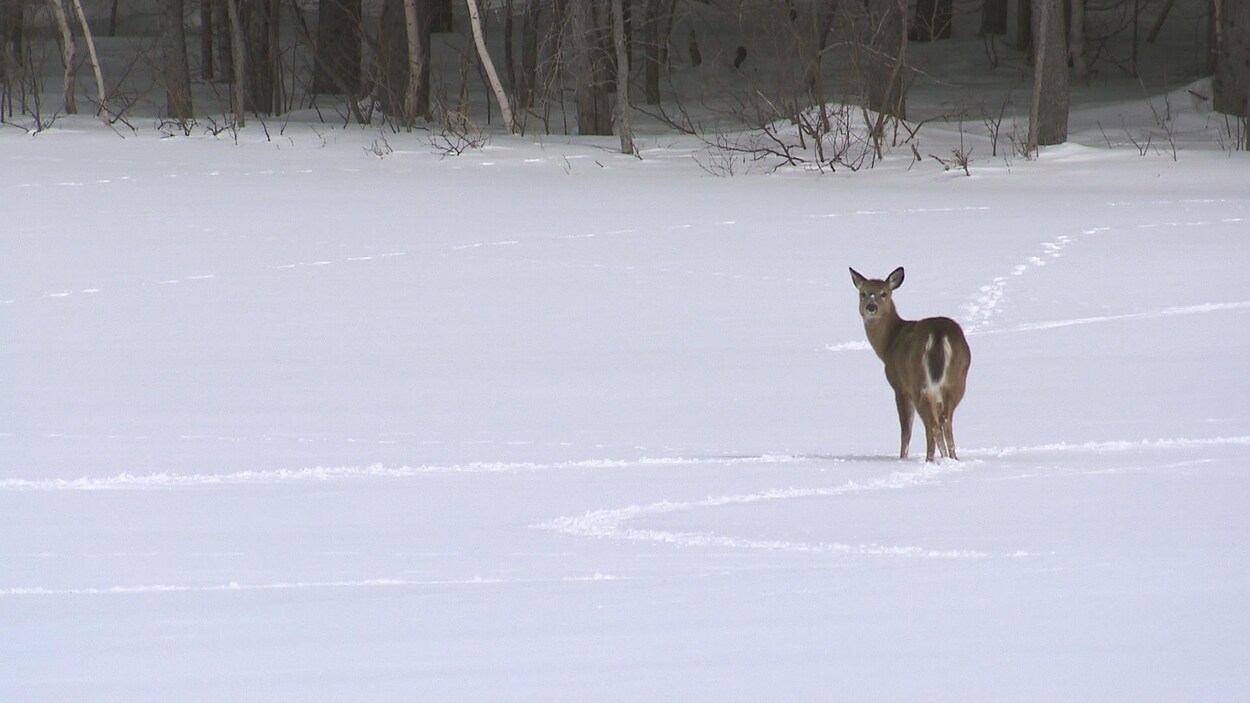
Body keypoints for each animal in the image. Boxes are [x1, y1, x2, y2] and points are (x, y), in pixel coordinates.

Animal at [855, 263, 970, 460]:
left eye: (884, 293)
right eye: (863, 293)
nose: (871, 307)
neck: (889, 344)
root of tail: (938, 333)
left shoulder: (899, 386)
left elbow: (905, 430)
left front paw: (902, 458)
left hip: (918, 382)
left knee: (931, 425)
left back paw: (930, 460)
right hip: (957, 380)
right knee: (945, 420)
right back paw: (951, 459)